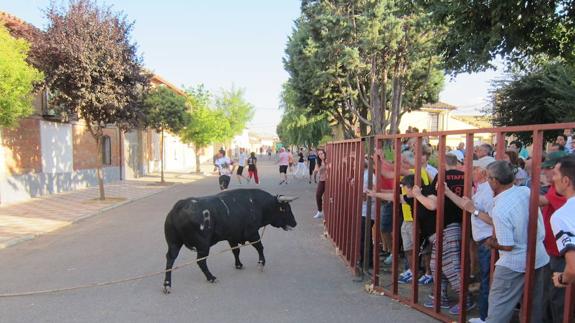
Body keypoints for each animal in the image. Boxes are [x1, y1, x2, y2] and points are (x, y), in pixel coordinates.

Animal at [162, 187, 296, 294]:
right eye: (286, 209)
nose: (295, 223)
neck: (258, 204)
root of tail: (178, 207)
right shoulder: (252, 234)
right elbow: (260, 247)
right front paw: (261, 264)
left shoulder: (232, 237)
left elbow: (236, 251)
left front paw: (239, 265)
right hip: (203, 246)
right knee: (201, 261)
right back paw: (211, 277)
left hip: (174, 244)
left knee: (170, 259)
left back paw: (167, 284)